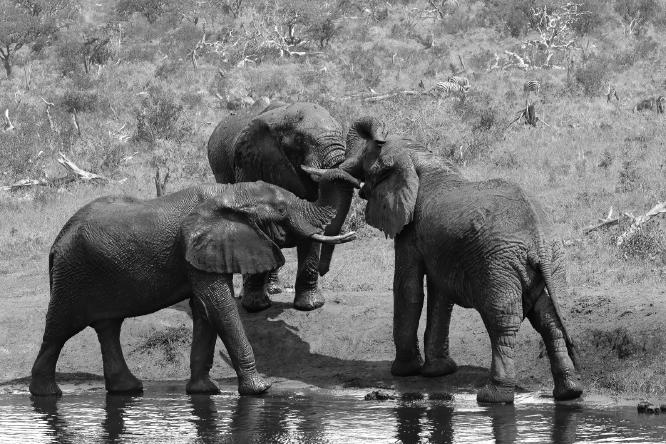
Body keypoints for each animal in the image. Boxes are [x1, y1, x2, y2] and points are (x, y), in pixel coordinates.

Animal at [29, 176, 358, 397]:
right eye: (280, 210)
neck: (228, 194)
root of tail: (57, 242)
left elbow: (204, 310)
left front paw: (204, 391)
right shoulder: (196, 248)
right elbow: (219, 306)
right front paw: (260, 389)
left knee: (108, 326)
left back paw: (129, 389)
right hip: (72, 275)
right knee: (59, 330)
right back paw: (47, 394)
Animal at [207, 102, 354, 312]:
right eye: (300, 140)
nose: (324, 271)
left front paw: (310, 306)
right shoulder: (250, 162)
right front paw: (256, 307)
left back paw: (274, 289)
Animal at [331, 118, 584, 403]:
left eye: (367, 163)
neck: (420, 157)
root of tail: (538, 237)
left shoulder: (410, 231)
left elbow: (408, 290)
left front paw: (403, 372)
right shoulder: (441, 246)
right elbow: (440, 295)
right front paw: (438, 372)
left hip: (497, 264)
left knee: (503, 320)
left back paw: (493, 396)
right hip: (553, 260)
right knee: (549, 318)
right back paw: (569, 392)